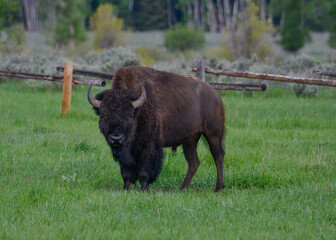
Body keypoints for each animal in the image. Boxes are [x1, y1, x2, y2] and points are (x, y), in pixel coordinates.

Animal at [88, 65, 226, 191]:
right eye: (104, 114)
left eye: (130, 115)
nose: (116, 138)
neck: (139, 110)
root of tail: (215, 95)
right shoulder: (124, 153)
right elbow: (125, 173)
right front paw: (125, 189)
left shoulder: (149, 147)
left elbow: (144, 172)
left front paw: (144, 189)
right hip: (190, 140)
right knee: (193, 162)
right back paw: (183, 188)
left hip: (213, 135)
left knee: (218, 155)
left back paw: (218, 188)